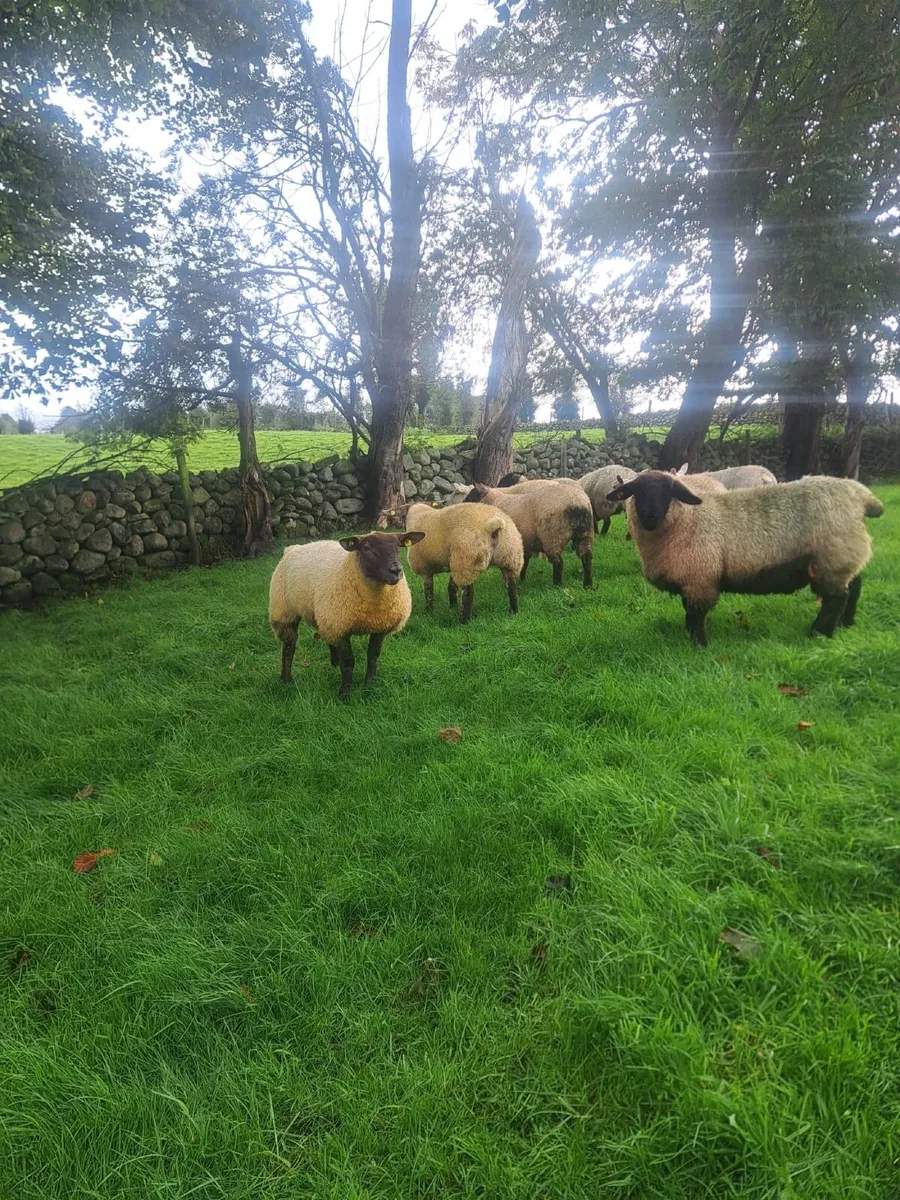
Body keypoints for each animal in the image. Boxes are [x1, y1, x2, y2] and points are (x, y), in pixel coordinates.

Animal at [268, 531, 425, 699]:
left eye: (398, 546)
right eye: (366, 548)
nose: (396, 571)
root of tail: (293, 548)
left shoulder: (379, 627)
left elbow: (373, 656)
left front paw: (370, 685)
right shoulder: (341, 628)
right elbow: (349, 662)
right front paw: (344, 694)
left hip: (324, 615)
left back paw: (334, 662)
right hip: (284, 610)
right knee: (289, 646)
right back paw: (286, 679)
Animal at [464, 480, 595, 588]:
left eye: (471, 497)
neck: (494, 501)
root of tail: (578, 503)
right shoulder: (525, 544)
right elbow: (524, 564)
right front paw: (522, 581)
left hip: (552, 537)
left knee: (558, 562)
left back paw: (557, 585)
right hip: (585, 534)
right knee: (586, 557)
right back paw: (587, 585)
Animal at [605, 471, 883, 646]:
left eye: (667, 492)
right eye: (637, 492)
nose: (649, 517)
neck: (688, 521)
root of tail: (861, 495)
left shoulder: (701, 578)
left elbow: (696, 614)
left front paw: (699, 645)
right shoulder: (691, 580)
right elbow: (687, 610)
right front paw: (688, 634)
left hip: (832, 559)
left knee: (837, 598)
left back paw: (819, 633)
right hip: (844, 556)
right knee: (855, 587)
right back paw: (846, 623)